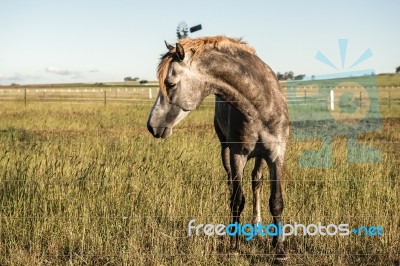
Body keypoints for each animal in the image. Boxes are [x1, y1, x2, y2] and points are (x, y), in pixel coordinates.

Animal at [145, 35, 290, 262]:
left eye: (170, 84)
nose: (152, 126)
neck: (260, 104)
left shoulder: (276, 156)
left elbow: (276, 201)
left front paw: (279, 250)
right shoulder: (238, 155)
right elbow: (237, 200)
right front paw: (234, 246)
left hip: (260, 158)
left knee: (256, 182)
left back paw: (258, 226)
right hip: (226, 152)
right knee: (232, 186)